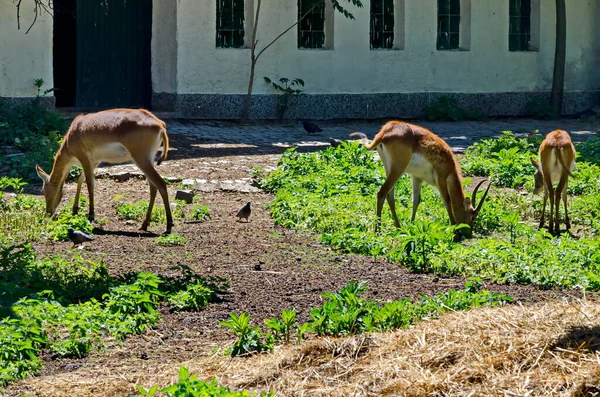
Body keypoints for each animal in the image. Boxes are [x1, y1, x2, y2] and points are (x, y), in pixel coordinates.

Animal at [36, 106, 173, 234]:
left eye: (43, 190)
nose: (48, 213)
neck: (72, 134)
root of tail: (160, 124)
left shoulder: (84, 159)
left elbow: (90, 185)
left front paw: (91, 215)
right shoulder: (94, 162)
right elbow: (80, 180)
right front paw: (75, 209)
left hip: (141, 160)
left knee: (161, 184)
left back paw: (168, 226)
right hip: (147, 161)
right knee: (153, 187)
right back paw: (145, 224)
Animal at [350, 120, 490, 232]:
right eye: (473, 217)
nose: (468, 232)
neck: (450, 166)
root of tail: (385, 132)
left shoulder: (417, 177)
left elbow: (416, 200)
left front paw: (412, 224)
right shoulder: (441, 178)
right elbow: (447, 200)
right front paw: (454, 228)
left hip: (388, 168)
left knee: (390, 196)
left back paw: (399, 227)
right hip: (398, 169)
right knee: (381, 193)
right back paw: (377, 230)